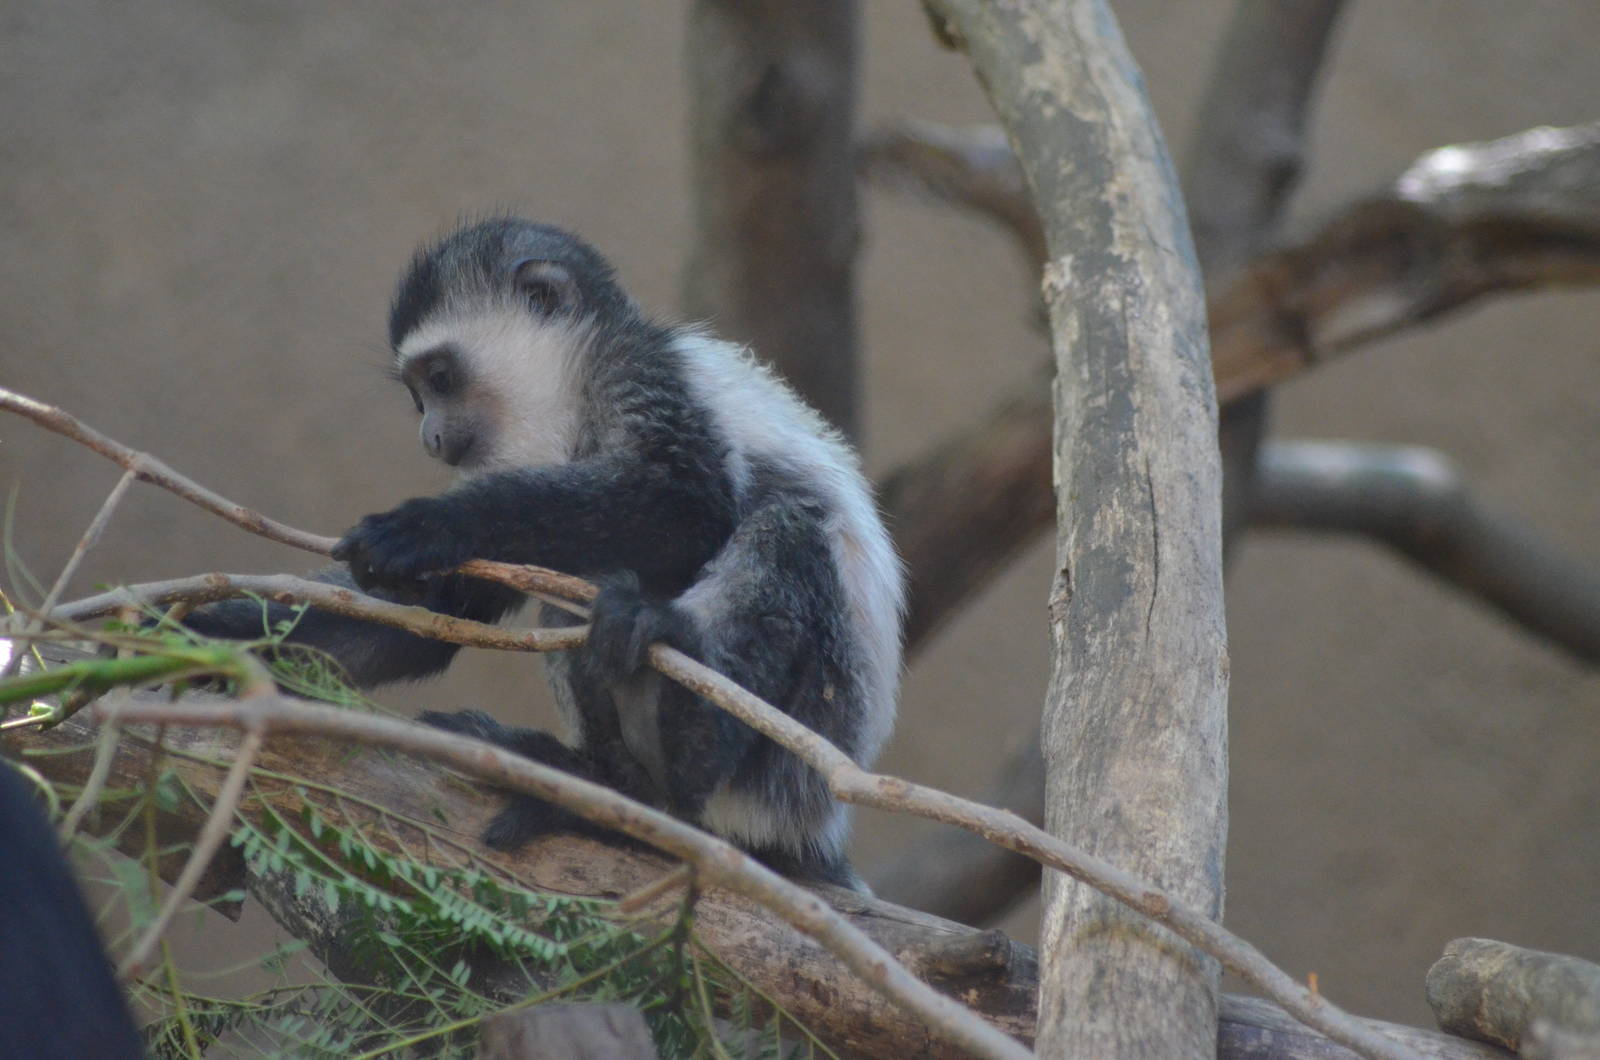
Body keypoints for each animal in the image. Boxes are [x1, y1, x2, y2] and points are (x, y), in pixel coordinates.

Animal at [185, 218, 904, 888]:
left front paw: (428, 524)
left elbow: (688, 505)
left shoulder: (638, 371)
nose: (430, 436)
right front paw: (194, 642)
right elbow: (431, 618)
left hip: (797, 747)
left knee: (782, 534)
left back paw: (663, 765)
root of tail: (813, 833)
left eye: (440, 379)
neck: (576, 402)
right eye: (418, 396)